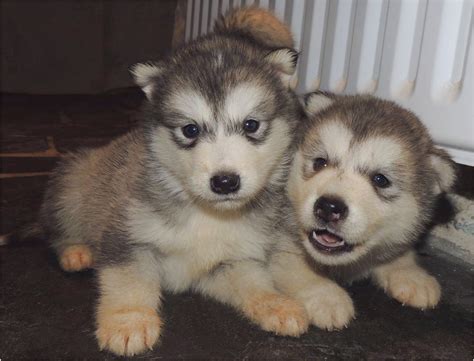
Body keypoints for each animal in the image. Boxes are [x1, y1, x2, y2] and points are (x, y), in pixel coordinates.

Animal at [39, 7, 308, 354]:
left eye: (251, 125)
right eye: (190, 130)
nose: (224, 182)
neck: (206, 214)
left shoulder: (227, 262)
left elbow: (254, 281)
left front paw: (276, 304)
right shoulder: (127, 236)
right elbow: (129, 280)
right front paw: (128, 321)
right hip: (73, 183)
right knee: (57, 230)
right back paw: (75, 251)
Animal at [270, 93, 456, 332]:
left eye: (380, 179)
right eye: (320, 162)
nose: (329, 207)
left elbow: (397, 252)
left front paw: (411, 273)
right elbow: (294, 266)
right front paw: (325, 296)